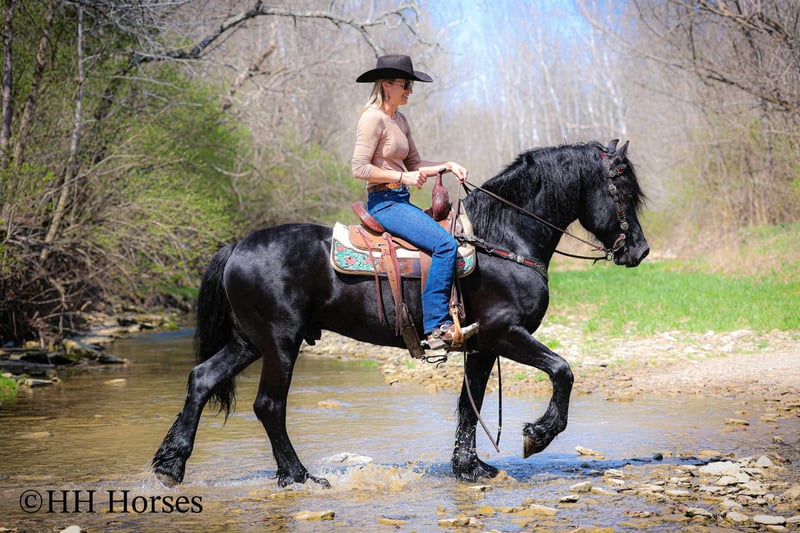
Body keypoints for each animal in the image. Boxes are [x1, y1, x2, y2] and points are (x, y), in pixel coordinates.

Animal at [152, 139, 649, 488]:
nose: (640, 251)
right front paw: (537, 435)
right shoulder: (504, 333)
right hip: (279, 343)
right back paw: (298, 476)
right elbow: (563, 371)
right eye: (622, 188)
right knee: (269, 406)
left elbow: (469, 405)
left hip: (248, 341)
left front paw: (469, 468)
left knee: (201, 379)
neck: (502, 239)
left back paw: (170, 464)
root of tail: (237, 246)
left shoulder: (480, 345)